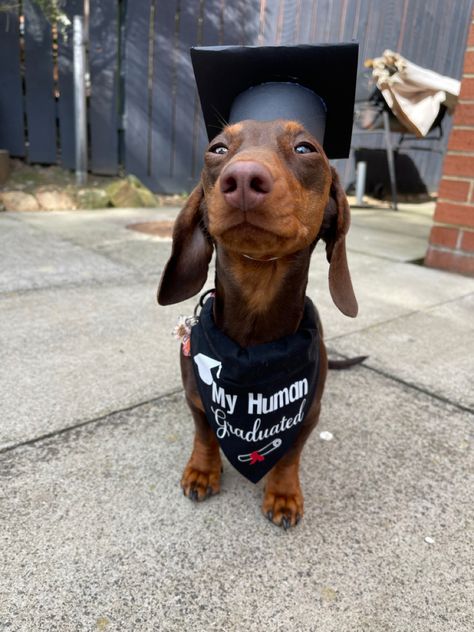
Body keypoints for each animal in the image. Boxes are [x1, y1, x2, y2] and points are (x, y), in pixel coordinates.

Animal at [157, 118, 358, 528]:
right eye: (217, 148)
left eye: (305, 148)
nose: (244, 177)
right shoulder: (196, 398)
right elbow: (204, 433)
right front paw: (202, 470)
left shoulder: (309, 415)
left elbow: (290, 455)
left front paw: (283, 494)